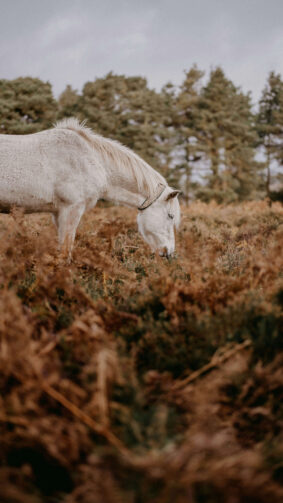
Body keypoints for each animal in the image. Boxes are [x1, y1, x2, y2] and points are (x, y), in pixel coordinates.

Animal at [0, 118, 181, 260]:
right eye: (170, 216)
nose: (169, 253)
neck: (91, 160)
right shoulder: (71, 209)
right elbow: (65, 253)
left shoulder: (58, 213)